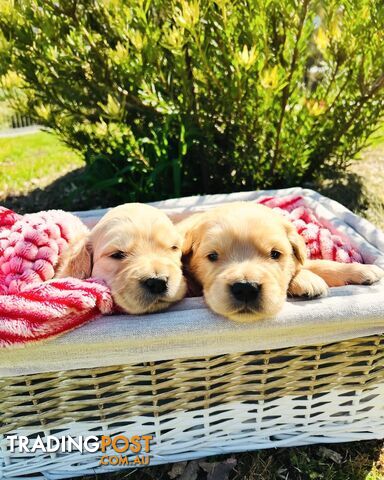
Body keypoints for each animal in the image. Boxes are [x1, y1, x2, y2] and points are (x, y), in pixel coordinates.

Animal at [178, 202, 384, 322]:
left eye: (275, 254)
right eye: (212, 256)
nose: (246, 288)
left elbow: (315, 264)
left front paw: (361, 270)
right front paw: (307, 280)